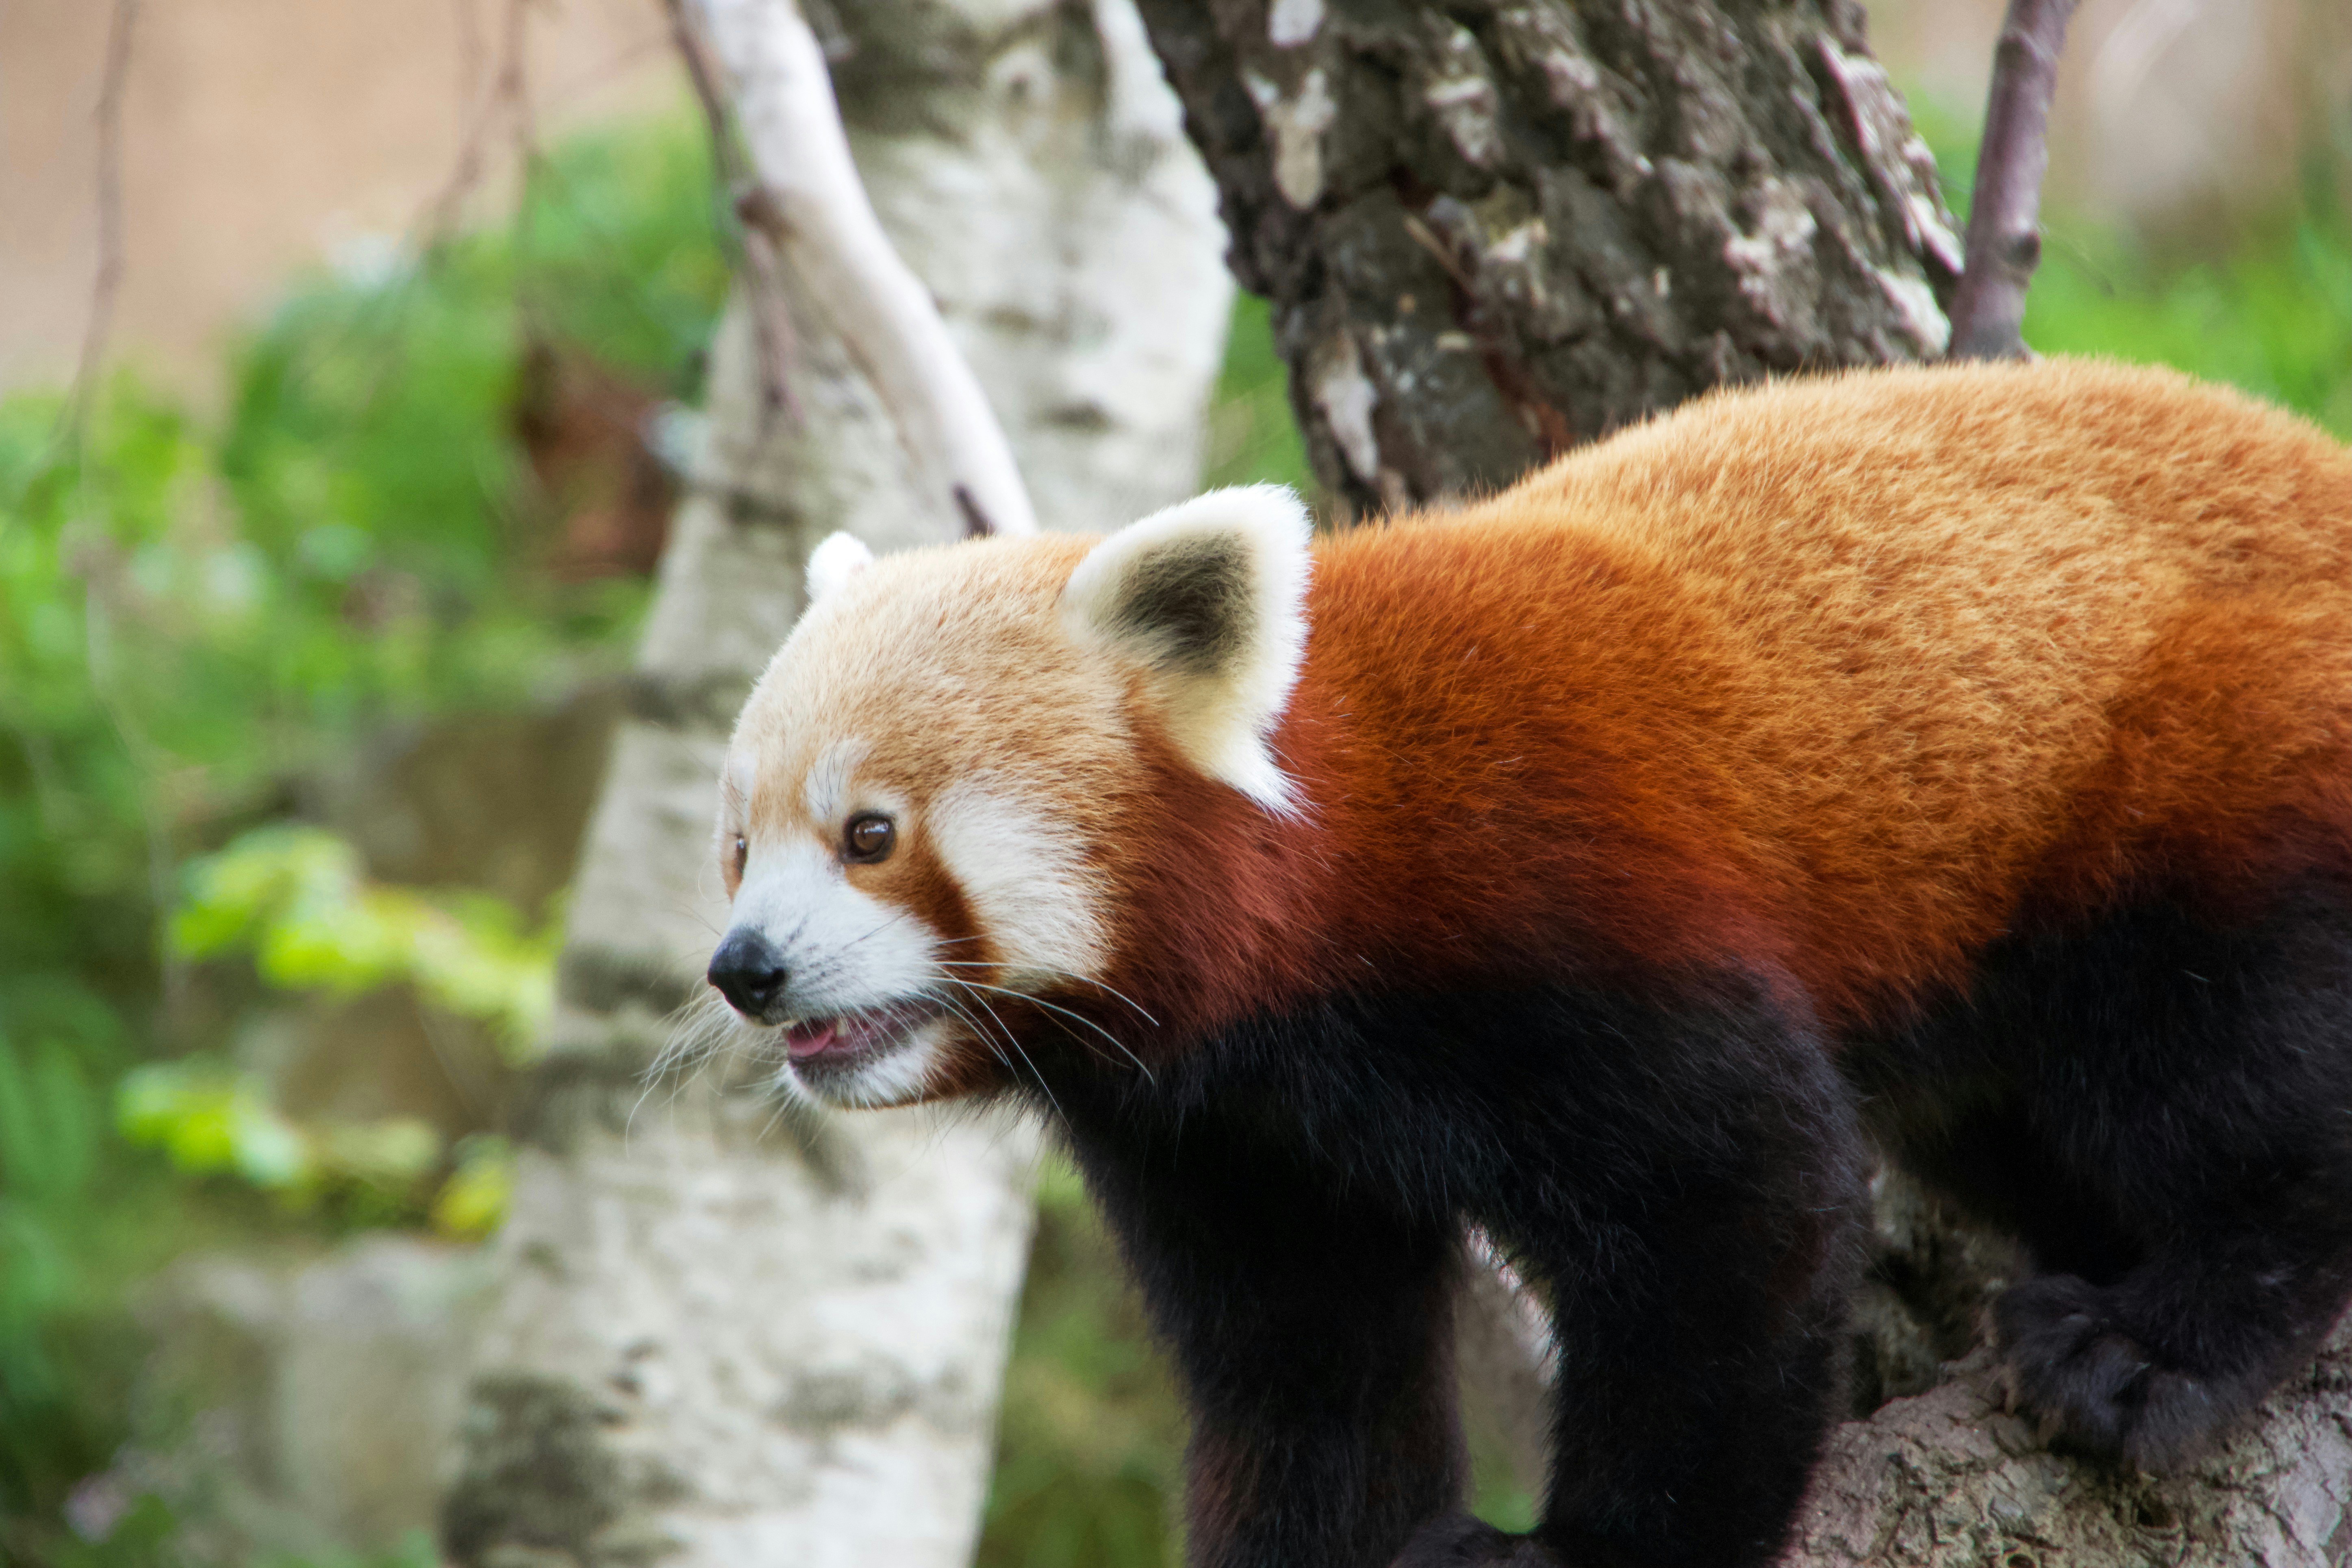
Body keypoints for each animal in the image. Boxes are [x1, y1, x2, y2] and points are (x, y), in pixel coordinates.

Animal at [702, 357, 2352, 1568]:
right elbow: (1309, 1364)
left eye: (868, 833)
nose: (745, 968)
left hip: (2210, 769)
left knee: (2234, 1072)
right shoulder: (1226, 1128)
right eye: (735, 841)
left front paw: (1588, 1553)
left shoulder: (1557, 912)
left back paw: (2153, 1334)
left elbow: (1736, 1208)